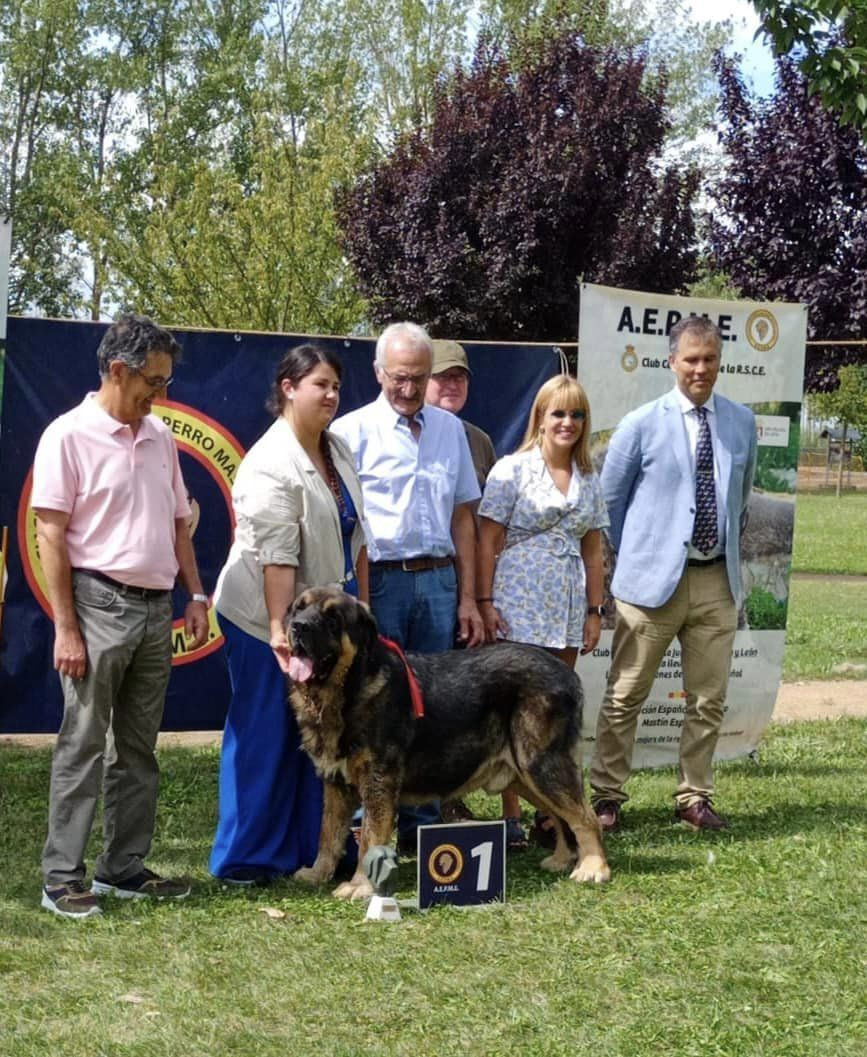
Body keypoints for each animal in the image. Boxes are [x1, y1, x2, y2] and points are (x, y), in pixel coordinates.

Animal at [285, 587, 609, 900]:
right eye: (298, 608)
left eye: (333, 619)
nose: (297, 626)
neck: (351, 685)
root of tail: (568, 674)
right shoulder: (336, 784)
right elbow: (328, 834)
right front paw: (318, 873)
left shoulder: (378, 782)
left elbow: (369, 838)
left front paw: (361, 886)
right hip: (523, 774)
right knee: (561, 816)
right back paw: (564, 859)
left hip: (541, 763)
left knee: (585, 817)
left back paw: (593, 867)